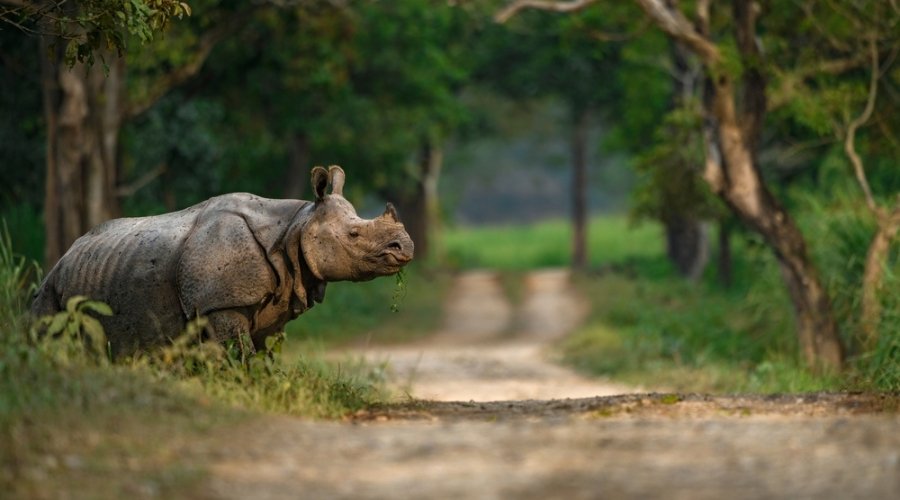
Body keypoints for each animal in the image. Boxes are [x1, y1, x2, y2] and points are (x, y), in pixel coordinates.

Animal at [31, 165, 413, 356]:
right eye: (354, 234)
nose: (406, 247)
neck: (295, 228)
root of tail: (64, 256)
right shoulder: (220, 304)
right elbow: (238, 354)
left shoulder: (275, 301)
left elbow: (263, 355)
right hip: (50, 288)